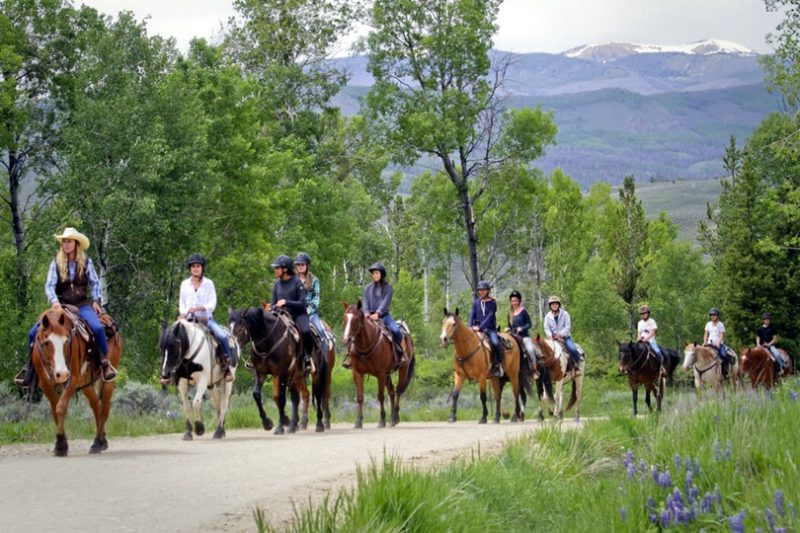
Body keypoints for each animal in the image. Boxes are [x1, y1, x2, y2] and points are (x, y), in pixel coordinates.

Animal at [32, 306, 122, 456]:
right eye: (46, 343)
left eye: (67, 341)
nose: (62, 374)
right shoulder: (46, 384)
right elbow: (55, 410)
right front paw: (61, 444)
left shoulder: (72, 379)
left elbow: (61, 408)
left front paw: (61, 444)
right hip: (85, 383)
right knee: (96, 406)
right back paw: (102, 441)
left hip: (108, 381)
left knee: (104, 409)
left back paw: (97, 442)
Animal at [340, 300, 416, 428]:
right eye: (344, 318)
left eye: (356, 319)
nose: (346, 339)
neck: (366, 346)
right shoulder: (358, 373)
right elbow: (360, 397)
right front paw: (358, 421)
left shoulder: (380, 374)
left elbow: (380, 396)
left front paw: (381, 420)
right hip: (387, 374)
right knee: (391, 391)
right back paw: (392, 419)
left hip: (403, 369)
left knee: (398, 390)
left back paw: (395, 417)